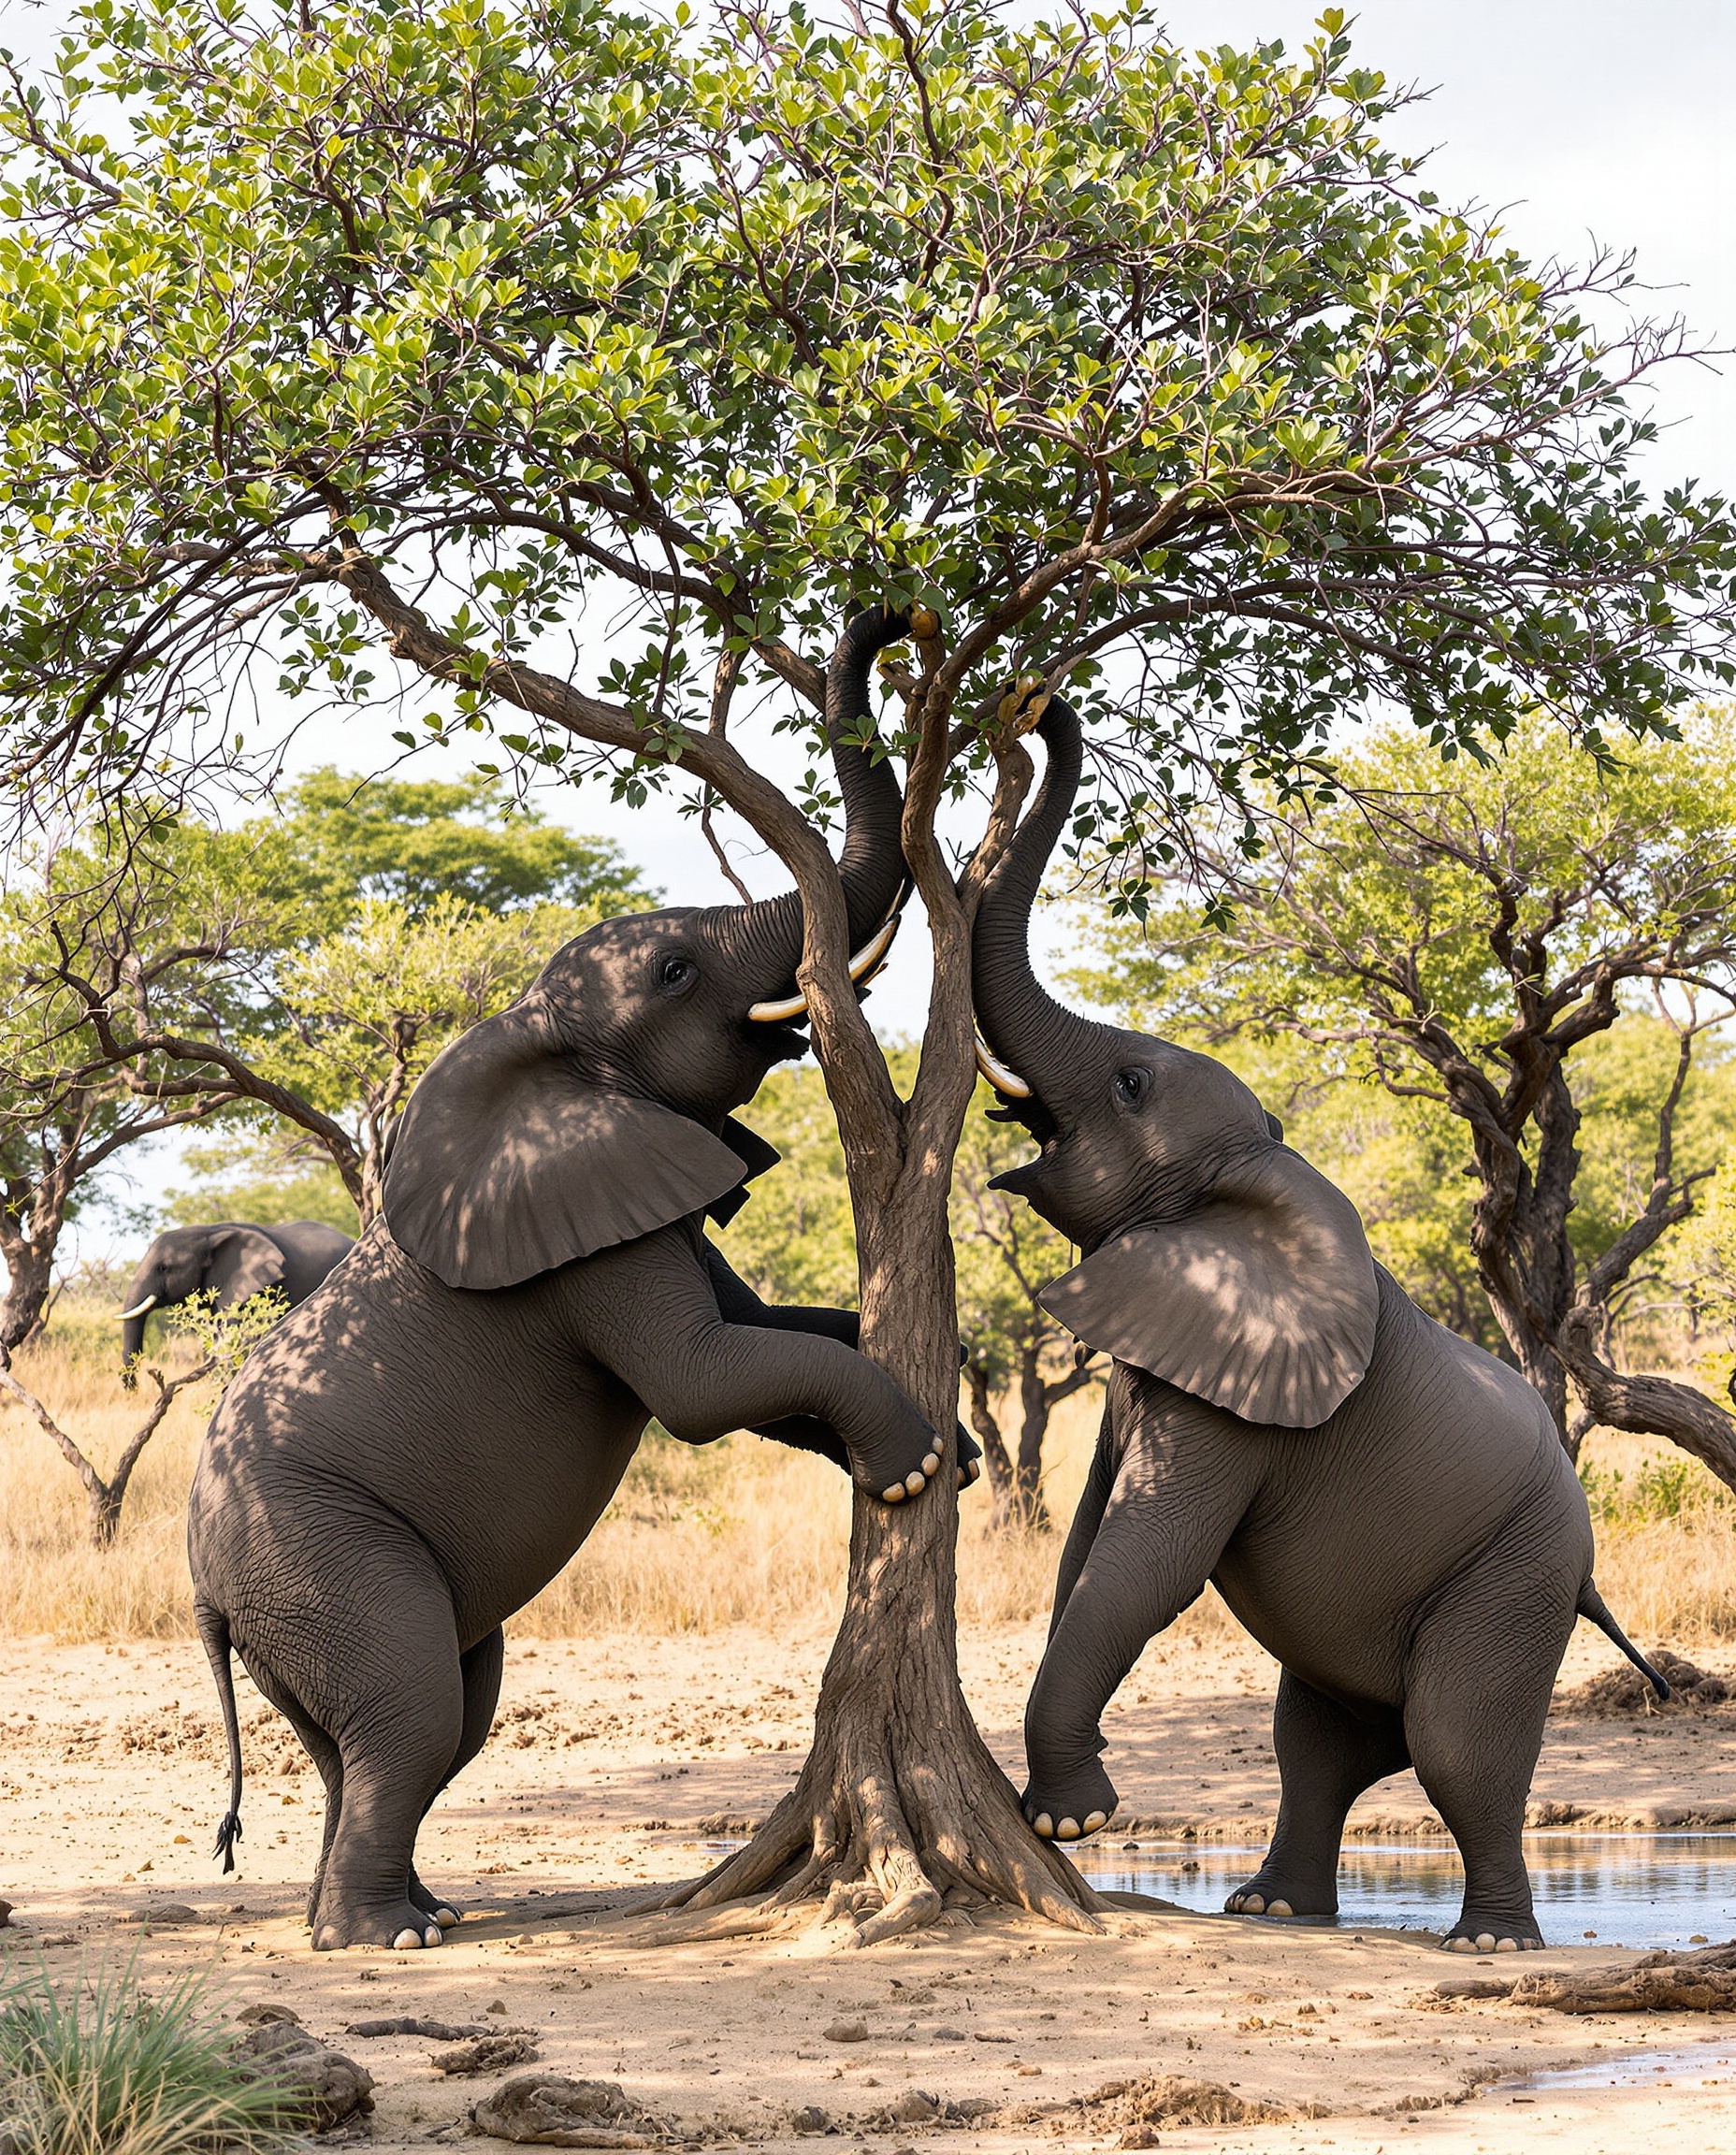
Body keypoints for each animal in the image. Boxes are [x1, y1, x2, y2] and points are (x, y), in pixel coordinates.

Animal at [189, 608, 956, 1953]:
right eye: (675, 972)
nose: (899, 619)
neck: (535, 1031)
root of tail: (198, 1585)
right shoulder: (586, 1238)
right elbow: (705, 1385)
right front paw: (912, 1465)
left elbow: (772, 1332)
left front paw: (943, 1440)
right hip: (308, 1550)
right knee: (412, 1708)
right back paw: (385, 1939)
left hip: (300, 1590)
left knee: (418, 1722)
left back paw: (394, 1916)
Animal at [969, 687, 1665, 1954]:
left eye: (1130, 1085)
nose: (1042, 706)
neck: (1256, 1170)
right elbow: (1086, 1548)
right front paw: (1066, 1812)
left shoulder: (1231, 1401)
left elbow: (1143, 1564)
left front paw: (1072, 1824)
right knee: (1318, 1743)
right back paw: (1269, 1906)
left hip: (1518, 1569)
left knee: (1453, 1743)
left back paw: (1488, 1941)